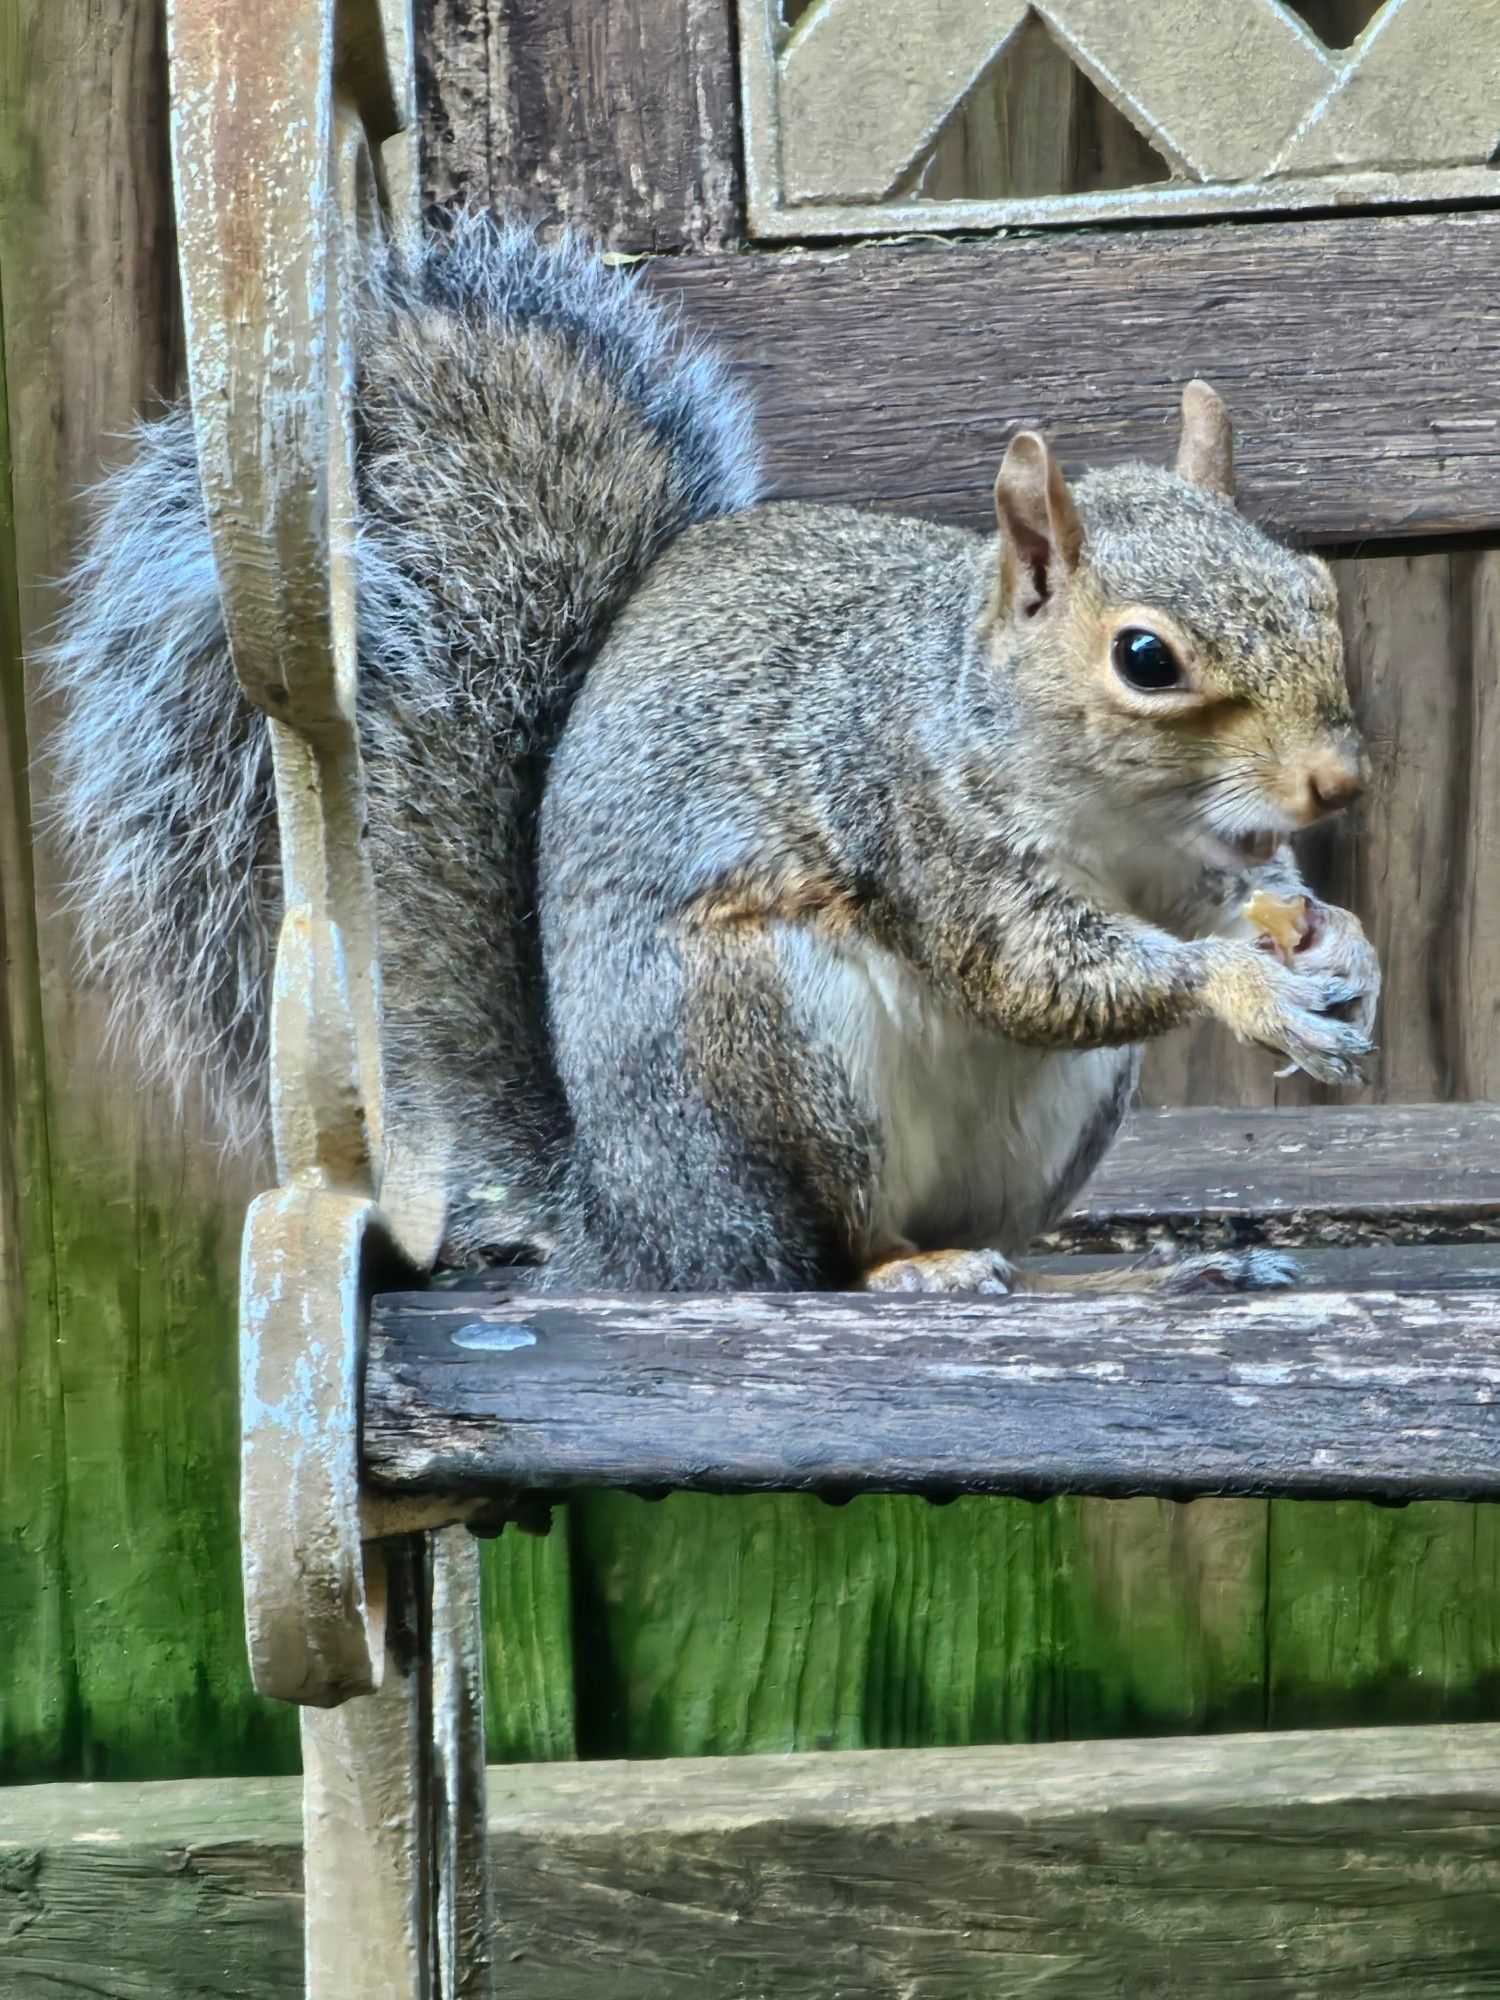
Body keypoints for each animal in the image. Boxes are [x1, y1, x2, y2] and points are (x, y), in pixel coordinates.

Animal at [47, 215, 1384, 1296]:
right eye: (1145, 657)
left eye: (1318, 588)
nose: (1336, 784)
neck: (1123, 816)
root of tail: (637, 1228)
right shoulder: (920, 819)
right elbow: (1032, 972)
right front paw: (1248, 985)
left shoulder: (1192, 861)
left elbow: (1230, 900)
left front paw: (1333, 942)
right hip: (765, 1042)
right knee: (829, 1250)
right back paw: (916, 1267)